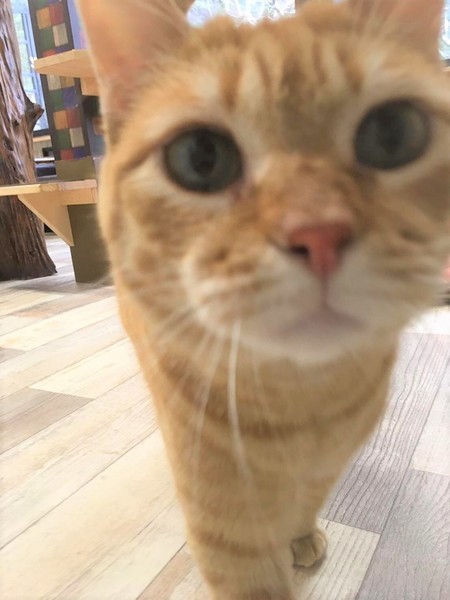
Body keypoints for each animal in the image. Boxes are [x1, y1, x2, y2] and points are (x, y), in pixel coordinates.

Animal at [77, 0, 450, 598]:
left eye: (394, 133)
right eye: (200, 157)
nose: (318, 233)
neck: (304, 407)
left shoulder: (326, 465)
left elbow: (308, 499)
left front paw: (301, 533)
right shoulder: (227, 527)